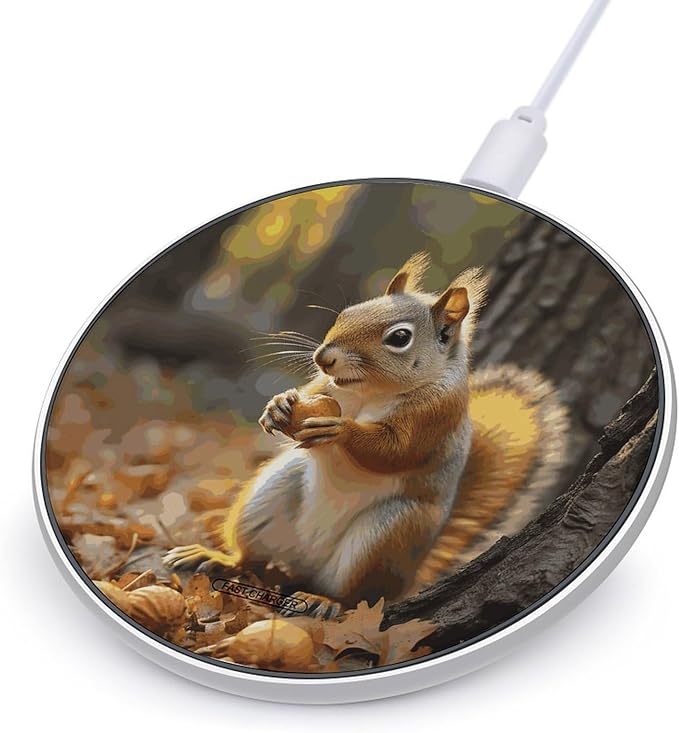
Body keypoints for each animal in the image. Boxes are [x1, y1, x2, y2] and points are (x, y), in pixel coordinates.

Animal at [163, 252, 568, 619]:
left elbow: (394, 450)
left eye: (400, 337)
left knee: (357, 597)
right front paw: (279, 405)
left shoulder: (435, 415)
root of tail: (309, 567)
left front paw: (339, 429)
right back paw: (218, 558)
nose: (324, 357)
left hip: (387, 535)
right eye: (347, 313)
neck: (369, 391)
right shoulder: (325, 386)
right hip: (270, 496)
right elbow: (310, 393)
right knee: (252, 558)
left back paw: (324, 602)